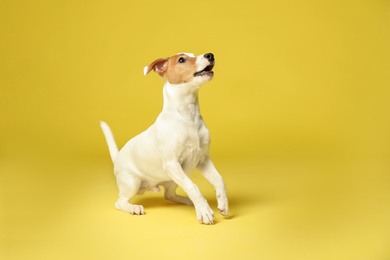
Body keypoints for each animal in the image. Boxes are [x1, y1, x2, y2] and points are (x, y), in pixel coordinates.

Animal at [100, 52, 229, 223]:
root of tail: (118, 157)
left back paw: (187, 201)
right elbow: (193, 187)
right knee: (120, 202)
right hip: (133, 182)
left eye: (194, 55)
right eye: (181, 59)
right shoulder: (172, 164)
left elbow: (219, 179)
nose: (210, 55)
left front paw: (223, 203)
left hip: (173, 179)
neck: (188, 117)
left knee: (169, 195)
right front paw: (204, 211)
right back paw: (133, 208)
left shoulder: (203, 160)